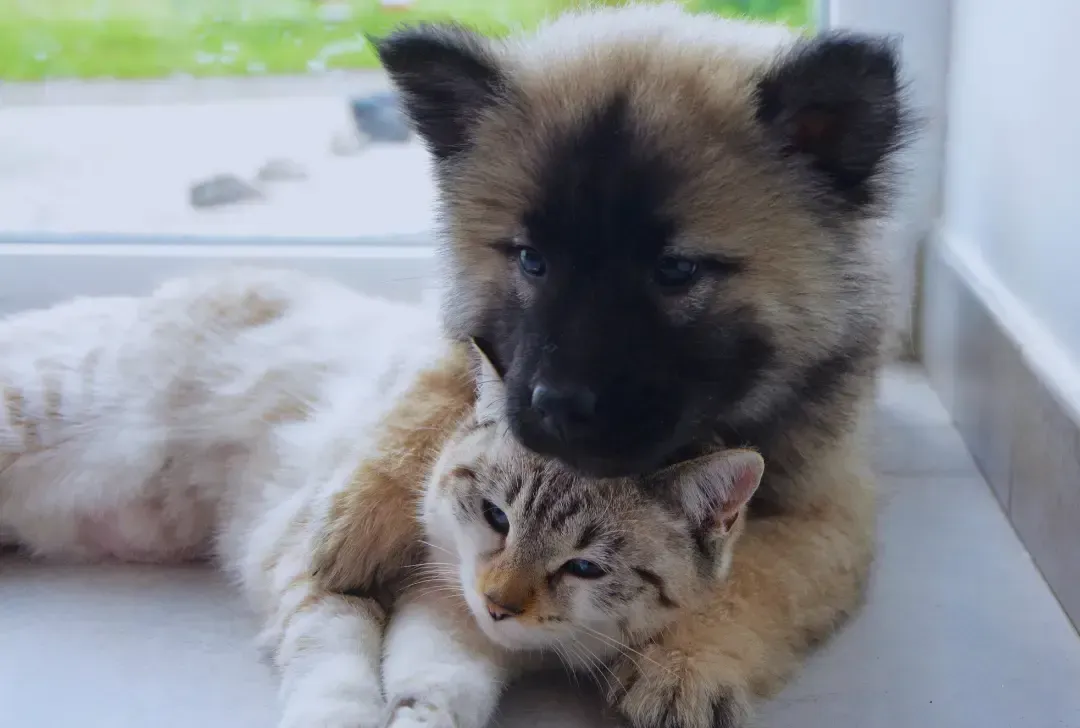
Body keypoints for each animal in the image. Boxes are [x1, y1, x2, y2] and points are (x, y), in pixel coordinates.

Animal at [0, 266, 760, 725]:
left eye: (584, 567)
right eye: (496, 516)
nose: (499, 603)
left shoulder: (458, 624)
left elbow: (436, 686)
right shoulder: (323, 574)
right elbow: (338, 668)